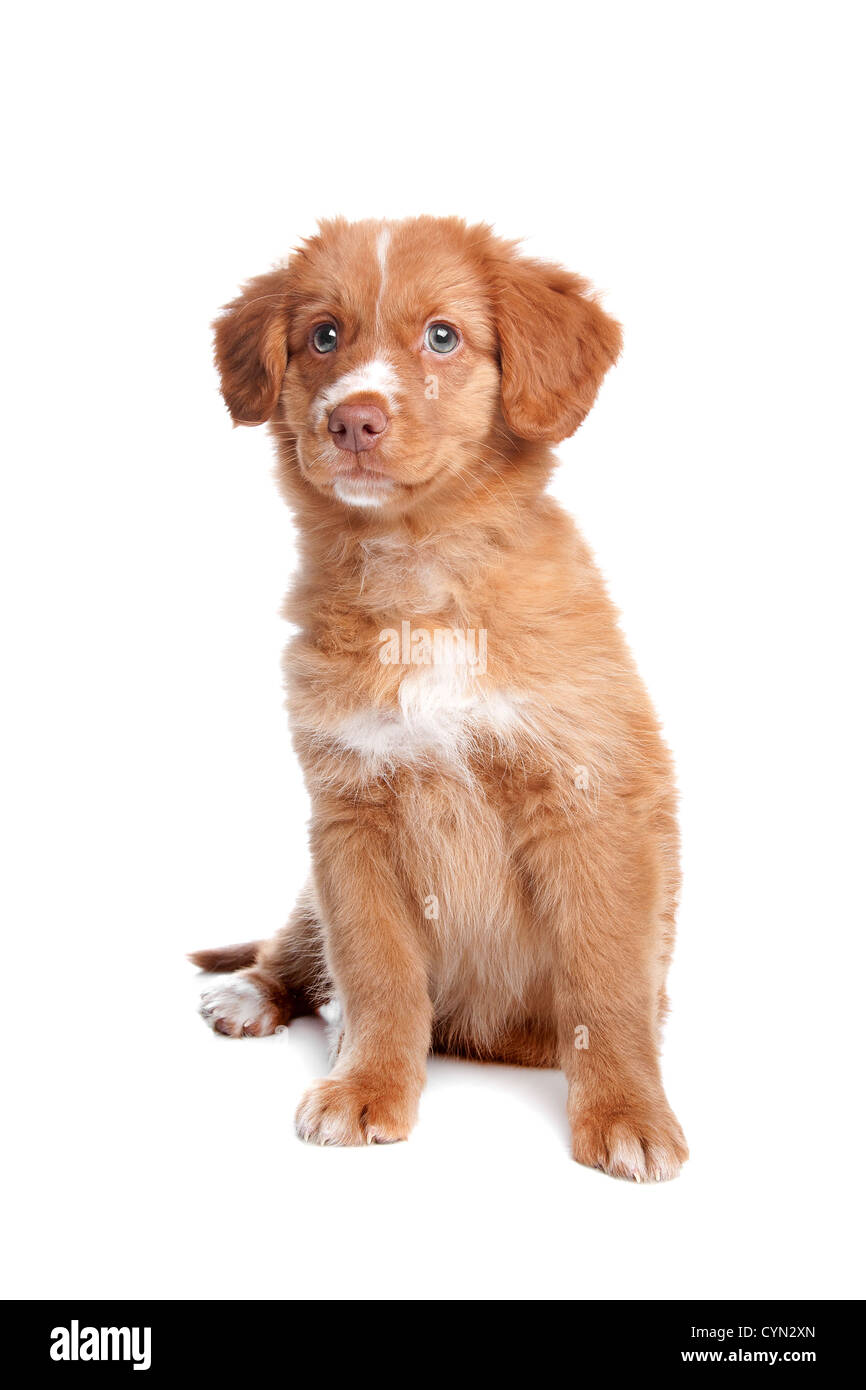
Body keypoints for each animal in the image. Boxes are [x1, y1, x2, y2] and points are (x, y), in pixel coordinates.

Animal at [193, 216, 686, 1184]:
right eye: (324, 335)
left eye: (444, 336)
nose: (352, 418)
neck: (419, 576)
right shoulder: (349, 818)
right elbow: (378, 975)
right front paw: (366, 1087)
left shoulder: (591, 803)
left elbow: (607, 984)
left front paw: (627, 1113)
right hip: (309, 889)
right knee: (294, 952)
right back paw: (251, 994)